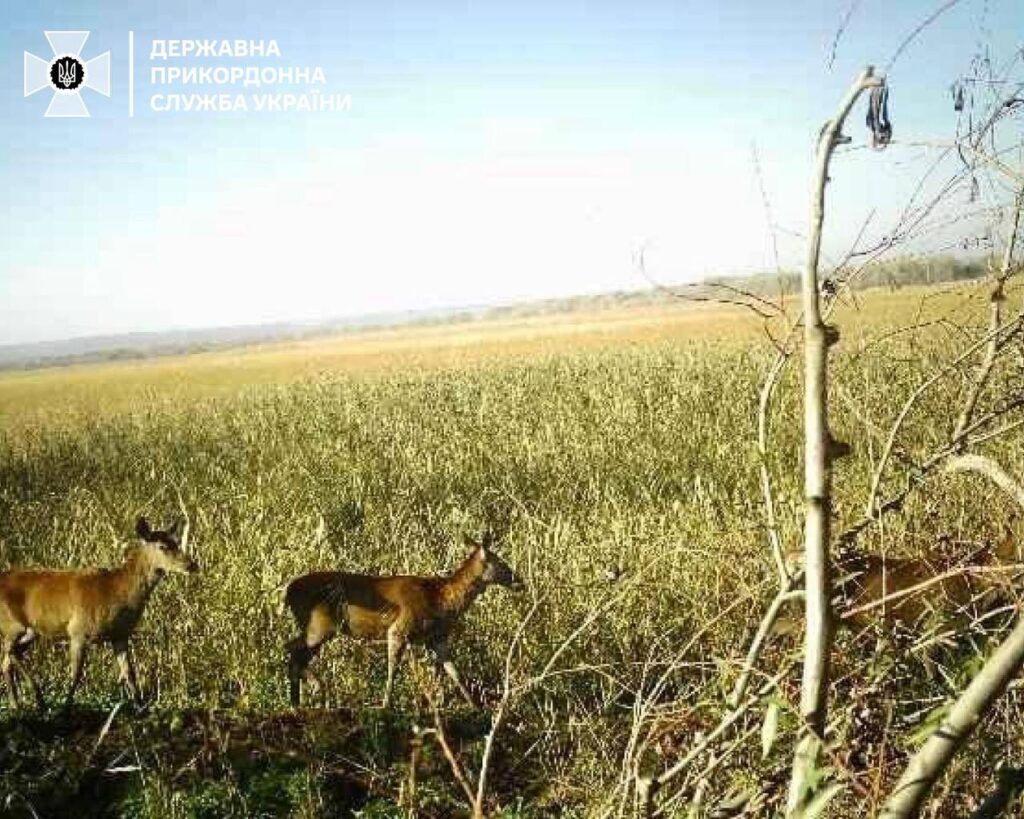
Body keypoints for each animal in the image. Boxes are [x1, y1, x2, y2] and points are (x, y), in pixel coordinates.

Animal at [0, 515, 198, 708]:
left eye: (177, 542)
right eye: (162, 546)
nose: (192, 565)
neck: (117, 592)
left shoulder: (120, 635)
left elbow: (129, 673)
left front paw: (141, 707)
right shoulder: (78, 631)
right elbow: (76, 675)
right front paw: (66, 707)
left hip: (30, 632)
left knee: (6, 662)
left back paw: (17, 705)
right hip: (12, 624)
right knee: (10, 653)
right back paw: (38, 699)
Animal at [284, 532, 524, 708]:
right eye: (501, 562)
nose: (519, 581)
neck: (440, 601)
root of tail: (288, 591)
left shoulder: (437, 638)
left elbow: (453, 671)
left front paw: (476, 707)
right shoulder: (399, 629)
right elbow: (393, 668)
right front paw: (386, 704)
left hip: (316, 626)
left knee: (294, 649)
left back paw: (298, 700)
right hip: (321, 625)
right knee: (294, 649)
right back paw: (314, 688)